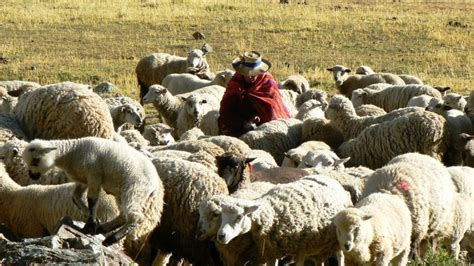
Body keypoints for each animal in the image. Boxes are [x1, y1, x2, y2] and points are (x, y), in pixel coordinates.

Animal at [21, 137, 164, 260]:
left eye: (35, 160)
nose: (32, 176)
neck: (71, 152)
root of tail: (155, 185)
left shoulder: (94, 174)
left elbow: (92, 199)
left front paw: (91, 225)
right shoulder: (83, 179)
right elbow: (76, 198)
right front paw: (92, 223)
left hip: (134, 189)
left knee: (136, 217)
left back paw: (111, 239)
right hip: (123, 193)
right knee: (123, 215)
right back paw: (103, 229)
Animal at [215, 175, 352, 264]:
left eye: (239, 217)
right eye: (221, 216)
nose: (221, 236)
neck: (274, 211)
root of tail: (330, 178)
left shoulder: (301, 250)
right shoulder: (271, 252)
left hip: (338, 238)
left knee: (340, 255)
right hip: (320, 244)